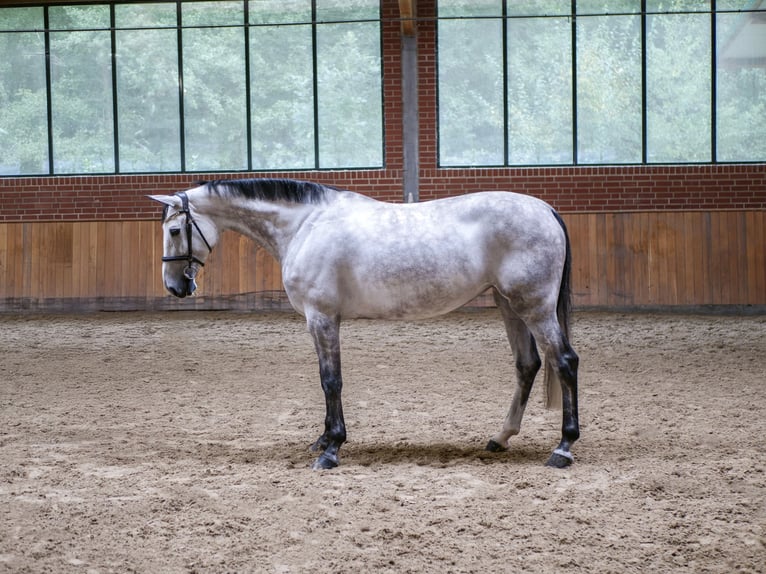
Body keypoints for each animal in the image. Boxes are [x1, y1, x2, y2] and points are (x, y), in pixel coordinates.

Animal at [149, 178, 579, 470]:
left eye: (174, 230)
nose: (174, 286)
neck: (305, 225)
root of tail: (545, 210)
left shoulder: (322, 318)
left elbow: (331, 381)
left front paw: (332, 449)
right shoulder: (320, 321)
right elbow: (326, 380)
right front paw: (323, 439)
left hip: (533, 307)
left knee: (565, 362)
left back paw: (563, 447)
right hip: (509, 305)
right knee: (527, 365)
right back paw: (500, 438)